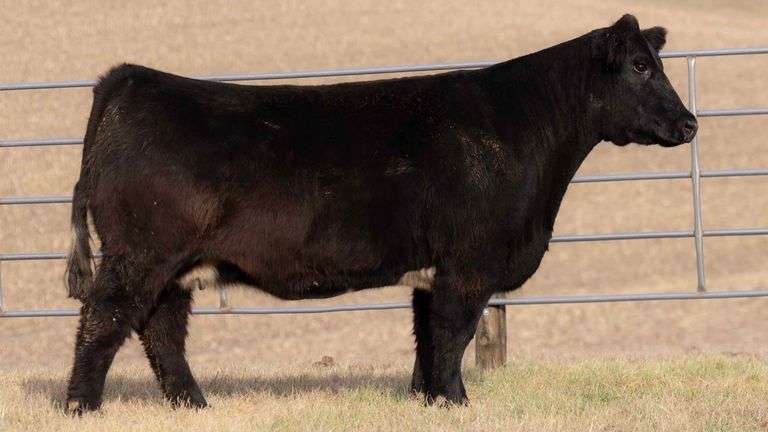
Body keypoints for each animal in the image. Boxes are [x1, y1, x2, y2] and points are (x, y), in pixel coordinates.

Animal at [64, 14, 697, 413]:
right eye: (640, 67)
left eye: (655, 63)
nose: (689, 123)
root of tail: (130, 79)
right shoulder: (468, 267)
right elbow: (453, 335)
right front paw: (457, 403)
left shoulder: (432, 271)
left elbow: (427, 340)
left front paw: (428, 401)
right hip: (140, 254)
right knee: (104, 320)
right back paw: (81, 408)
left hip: (172, 266)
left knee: (160, 331)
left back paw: (195, 407)